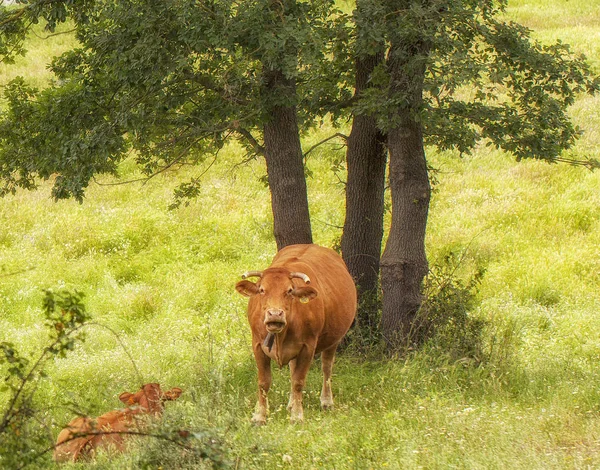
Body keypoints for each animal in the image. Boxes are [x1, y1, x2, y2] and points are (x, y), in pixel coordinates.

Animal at [234, 244, 356, 424]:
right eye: (262, 290)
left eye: (290, 290)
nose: (275, 314)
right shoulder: (257, 345)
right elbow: (263, 382)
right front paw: (259, 416)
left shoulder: (308, 346)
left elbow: (298, 381)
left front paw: (297, 416)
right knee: (293, 369)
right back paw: (291, 403)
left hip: (334, 339)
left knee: (326, 368)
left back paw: (326, 401)